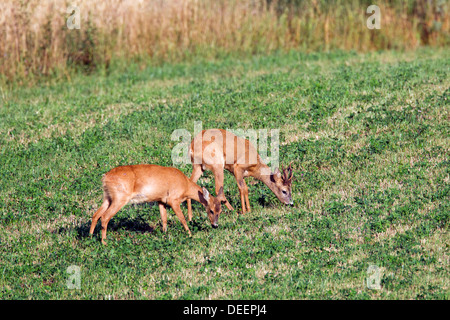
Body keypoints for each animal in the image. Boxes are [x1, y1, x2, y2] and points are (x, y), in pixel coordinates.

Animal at [89, 165, 223, 245]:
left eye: (220, 211)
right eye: (211, 210)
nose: (215, 225)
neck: (185, 186)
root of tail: (105, 177)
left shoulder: (161, 200)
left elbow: (164, 219)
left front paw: (164, 234)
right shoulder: (173, 200)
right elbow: (182, 218)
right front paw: (190, 234)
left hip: (108, 198)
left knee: (95, 215)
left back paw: (90, 237)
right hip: (119, 198)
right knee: (105, 217)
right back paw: (104, 242)